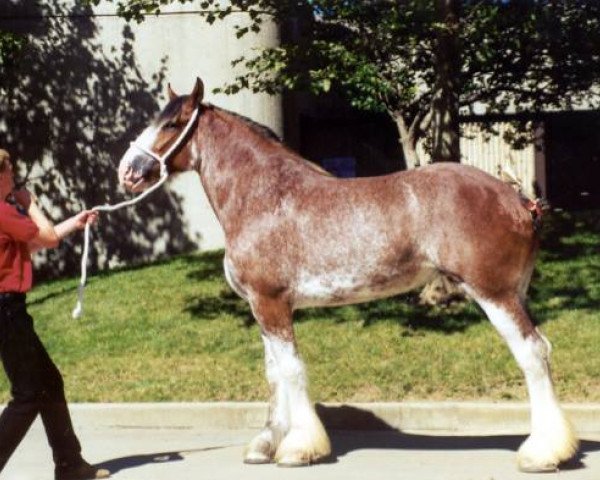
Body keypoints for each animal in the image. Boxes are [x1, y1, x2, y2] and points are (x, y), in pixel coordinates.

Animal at [115, 79, 580, 472]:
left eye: (171, 123)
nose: (127, 171)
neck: (265, 196)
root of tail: (519, 200)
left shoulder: (271, 303)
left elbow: (291, 370)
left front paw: (299, 448)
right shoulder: (263, 308)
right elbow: (274, 373)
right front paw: (265, 445)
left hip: (494, 294)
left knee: (531, 354)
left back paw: (542, 453)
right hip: (515, 293)